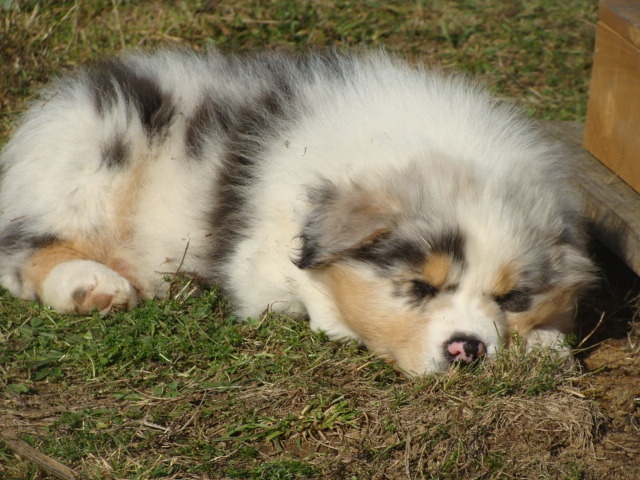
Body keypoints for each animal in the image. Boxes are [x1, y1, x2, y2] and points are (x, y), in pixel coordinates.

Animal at [0, 49, 595, 375]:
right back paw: (94, 286)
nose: (467, 350)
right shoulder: (262, 254)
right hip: (90, 154)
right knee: (24, 252)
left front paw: (544, 345)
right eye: (419, 287)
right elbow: (316, 293)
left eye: (511, 298)